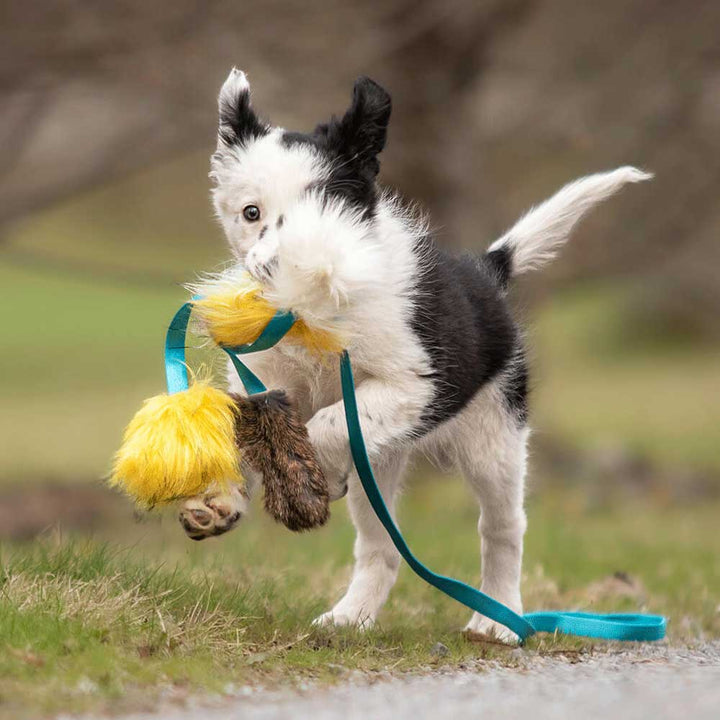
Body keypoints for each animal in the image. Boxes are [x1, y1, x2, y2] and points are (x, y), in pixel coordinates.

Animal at [177, 69, 648, 640]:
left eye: (325, 215)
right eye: (252, 213)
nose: (271, 271)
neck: (315, 309)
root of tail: (487, 272)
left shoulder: (416, 382)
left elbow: (325, 425)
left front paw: (315, 476)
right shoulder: (265, 379)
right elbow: (247, 430)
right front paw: (217, 501)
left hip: (494, 437)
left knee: (503, 527)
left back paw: (497, 617)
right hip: (380, 459)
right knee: (381, 545)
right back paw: (350, 616)